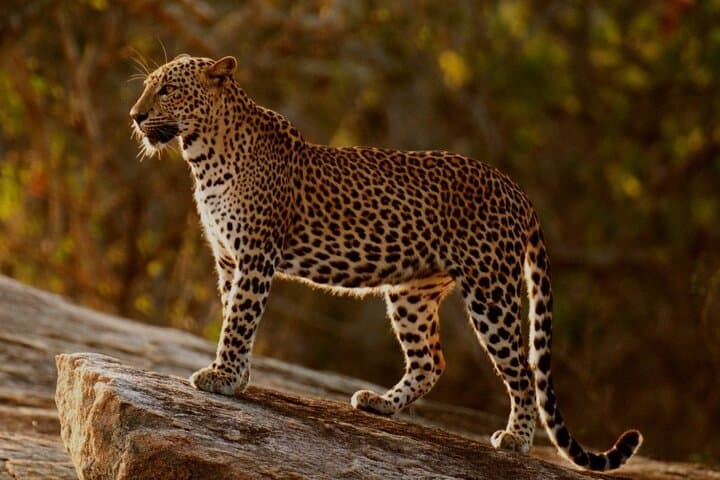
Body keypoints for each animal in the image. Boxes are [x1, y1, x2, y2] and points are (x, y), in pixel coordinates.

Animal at [130, 54, 642, 471]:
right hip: (411, 293)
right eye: (148, 86)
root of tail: (516, 188)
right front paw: (237, 377)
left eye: (167, 89)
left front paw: (221, 376)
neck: (203, 156)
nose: (135, 115)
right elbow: (232, 315)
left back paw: (515, 439)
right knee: (431, 361)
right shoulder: (228, 260)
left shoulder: (255, 257)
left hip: (491, 293)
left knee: (523, 370)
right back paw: (380, 403)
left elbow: (238, 319)